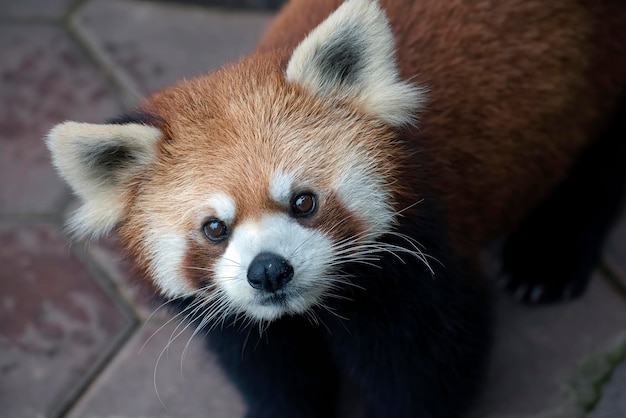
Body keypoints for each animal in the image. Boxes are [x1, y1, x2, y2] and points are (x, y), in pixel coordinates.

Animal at [45, 0, 624, 418]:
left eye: (304, 201)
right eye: (214, 228)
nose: (269, 270)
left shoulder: (421, 263)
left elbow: (427, 373)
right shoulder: (240, 324)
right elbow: (276, 376)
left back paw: (548, 257)